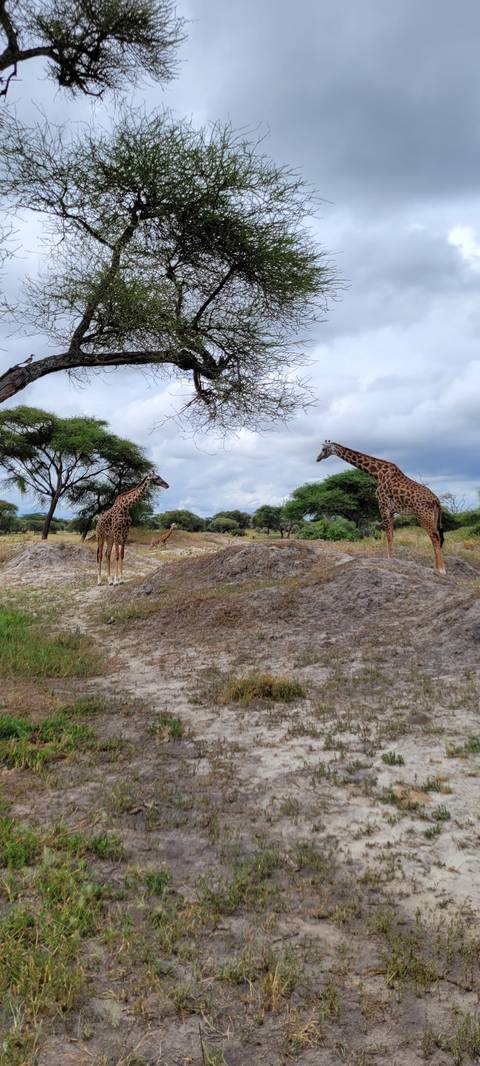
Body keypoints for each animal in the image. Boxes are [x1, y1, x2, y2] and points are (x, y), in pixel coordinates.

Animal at [316, 441, 446, 574]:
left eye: (323, 449)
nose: (317, 458)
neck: (377, 473)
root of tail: (436, 500)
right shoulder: (392, 511)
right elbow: (392, 535)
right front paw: (392, 558)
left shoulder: (383, 505)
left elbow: (388, 536)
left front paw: (389, 559)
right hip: (433, 515)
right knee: (437, 536)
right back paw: (436, 567)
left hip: (423, 515)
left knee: (435, 536)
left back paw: (441, 569)